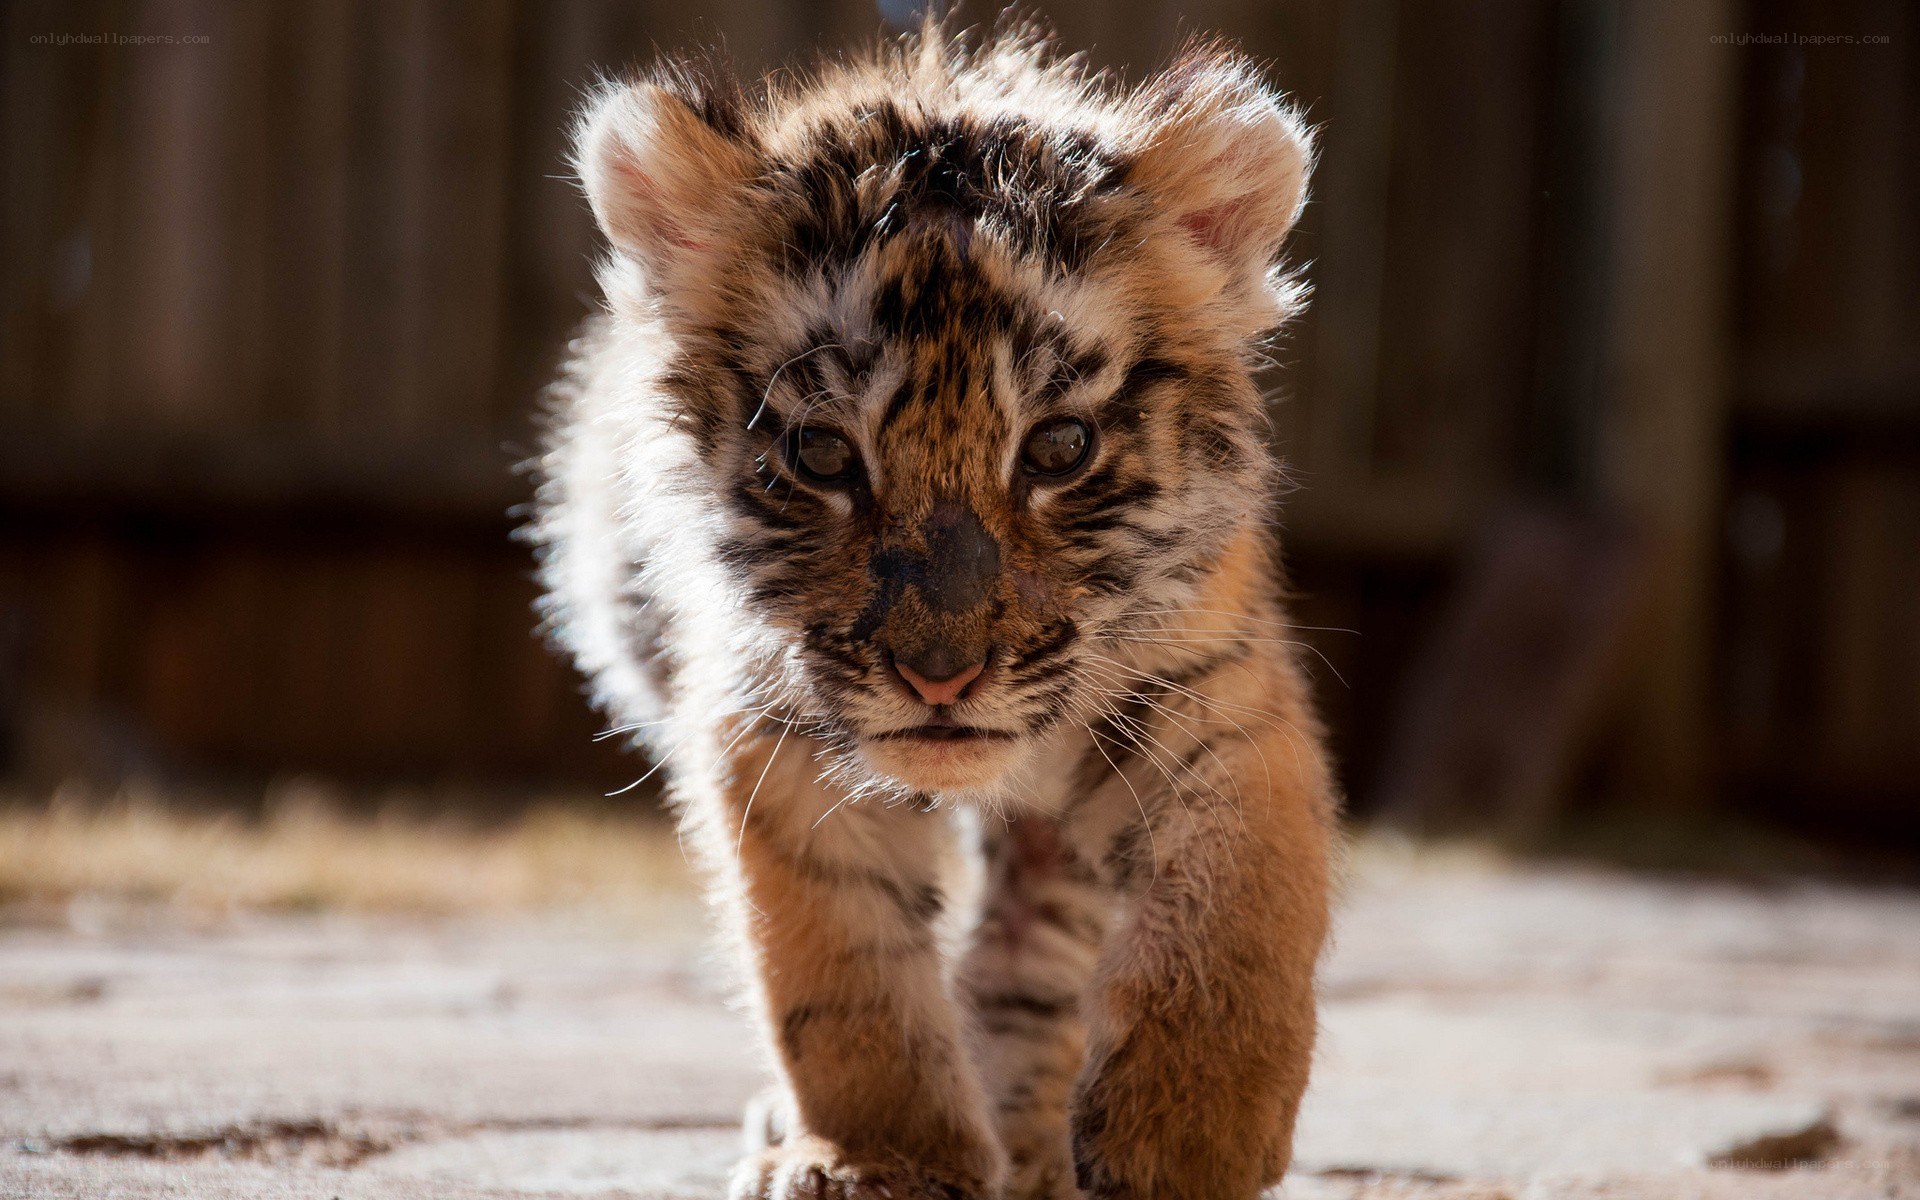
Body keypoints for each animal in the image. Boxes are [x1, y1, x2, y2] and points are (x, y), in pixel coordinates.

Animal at [532, 19, 1337, 1200]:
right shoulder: (770, 723)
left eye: (1059, 447)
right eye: (823, 455)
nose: (941, 678)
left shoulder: (1205, 684)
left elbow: (1239, 895)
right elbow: (837, 961)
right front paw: (877, 1161)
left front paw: (1187, 1135)